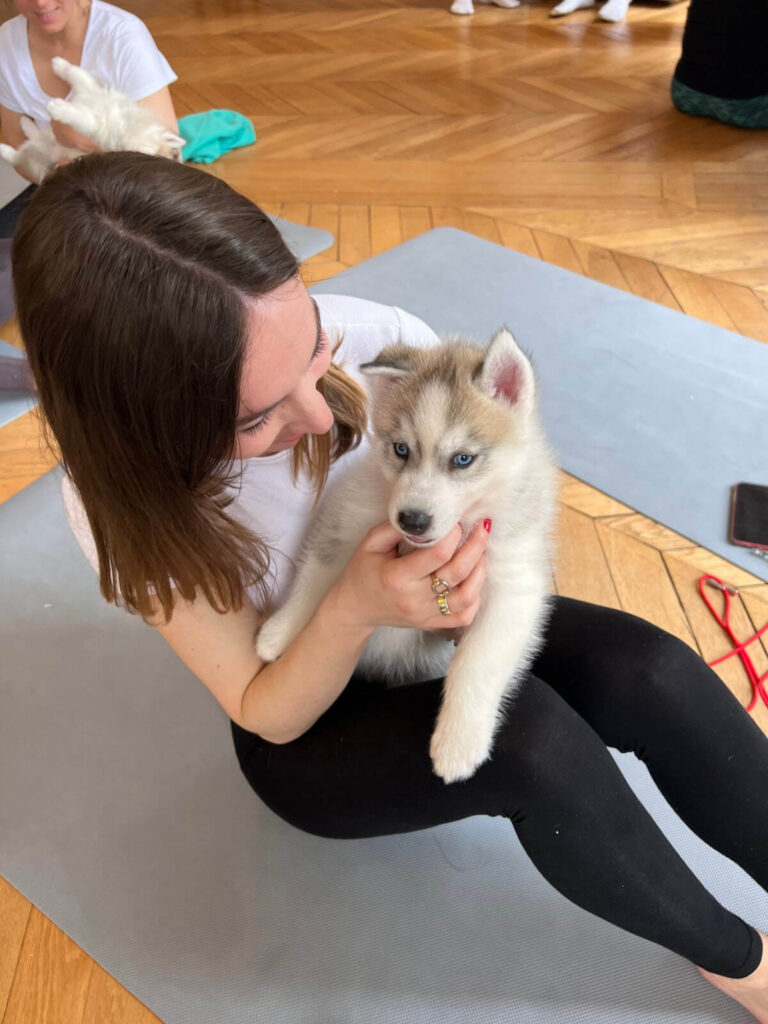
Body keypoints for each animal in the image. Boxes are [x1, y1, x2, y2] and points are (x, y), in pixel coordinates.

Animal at [0, 57, 185, 184]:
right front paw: (59, 65)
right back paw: (26, 123)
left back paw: (4, 148)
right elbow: (76, 73)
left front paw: (59, 108)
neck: (127, 125)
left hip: (35, 157)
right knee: (33, 134)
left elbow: (84, 118)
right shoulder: (94, 90)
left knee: (17, 157)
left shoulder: (95, 131)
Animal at [259, 327, 561, 782]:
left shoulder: (515, 586)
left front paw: (458, 743)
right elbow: (315, 582)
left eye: (462, 459)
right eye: (401, 449)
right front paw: (279, 634)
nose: (412, 520)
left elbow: (478, 662)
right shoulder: (348, 522)